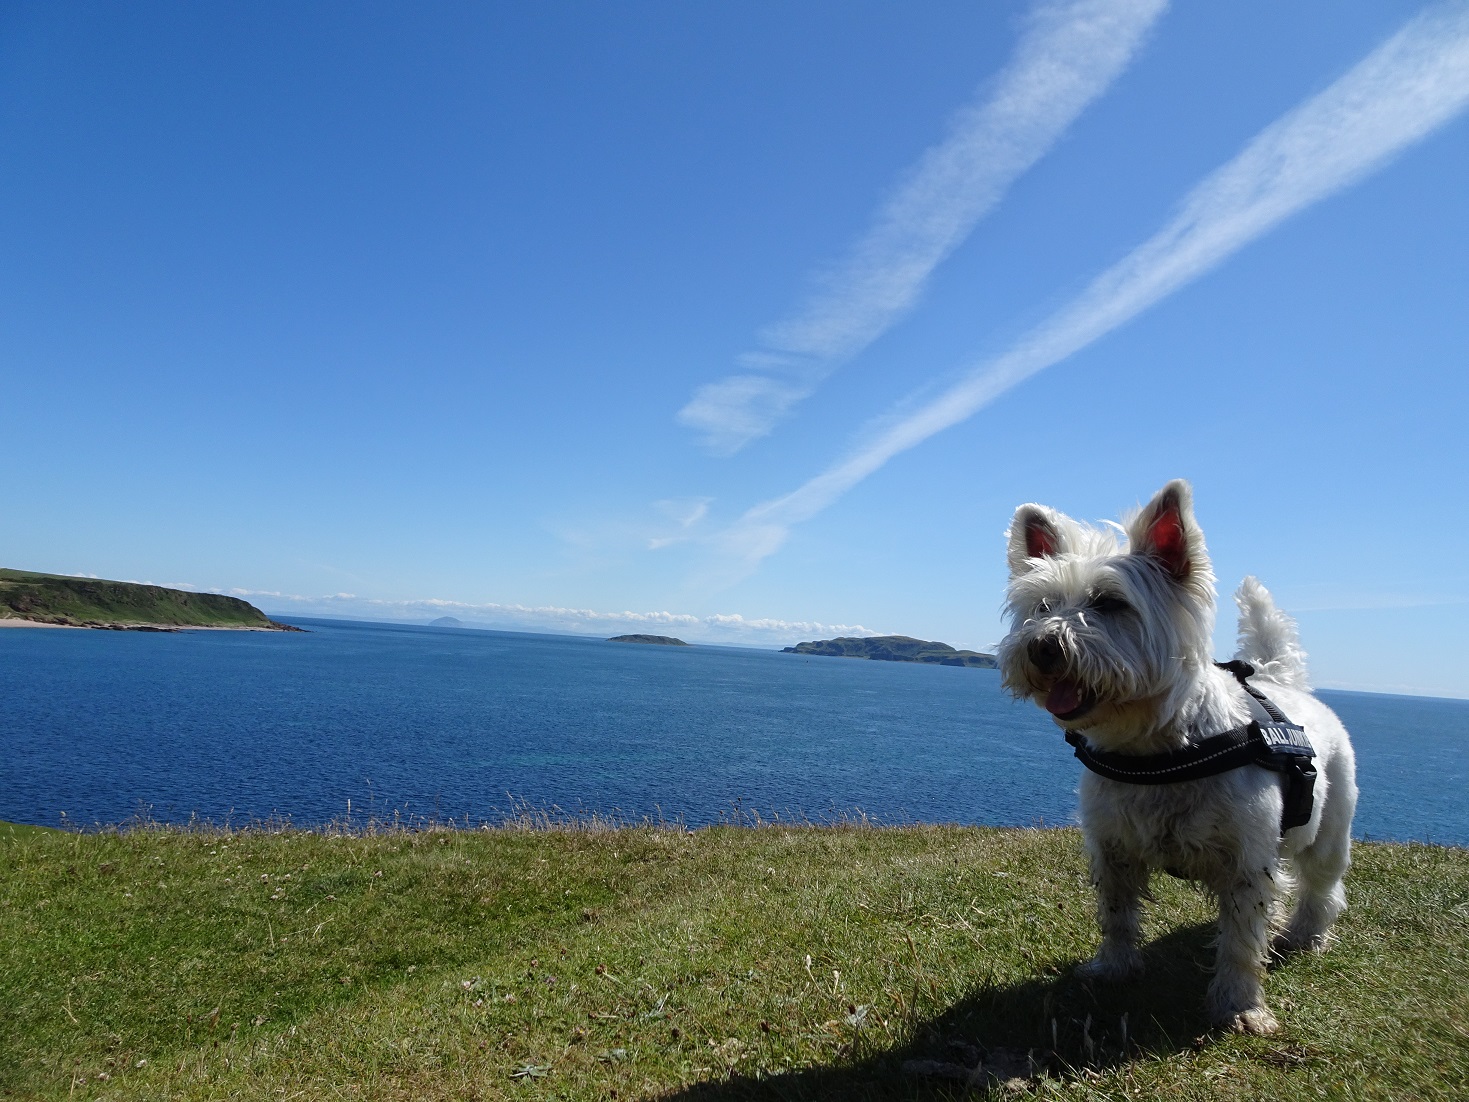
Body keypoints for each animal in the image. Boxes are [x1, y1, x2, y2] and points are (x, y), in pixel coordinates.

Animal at [998, 481, 1351, 1034]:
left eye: (1109, 602)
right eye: (1042, 605)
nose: (1041, 647)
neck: (1154, 752)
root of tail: (1285, 683)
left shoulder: (1248, 860)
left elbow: (1242, 940)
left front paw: (1240, 1006)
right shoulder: (1112, 846)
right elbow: (1117, 915)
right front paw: (1113, 969)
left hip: (1331, 829)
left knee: (1322, 887)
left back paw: (1305, 936)